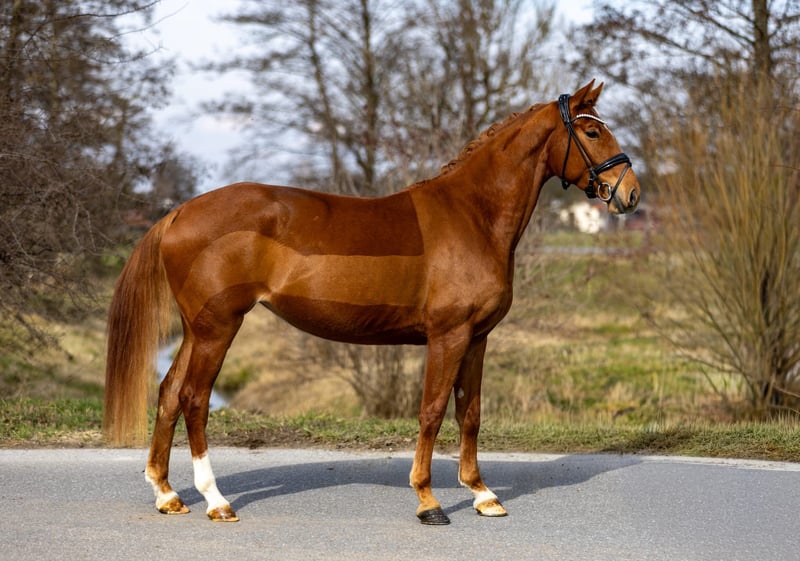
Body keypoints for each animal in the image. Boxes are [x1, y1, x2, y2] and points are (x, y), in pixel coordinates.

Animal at [103, 80, 640, 525]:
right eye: (592, 131)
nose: (631, 195)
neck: (474, 216)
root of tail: (179, 213)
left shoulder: (477, 338)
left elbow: (470, 413)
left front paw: (483, 494)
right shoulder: (448, 336)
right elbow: (431, 411)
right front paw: (428, 501)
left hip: (196, 329)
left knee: (168, 393)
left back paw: (167, 494)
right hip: (218, 328)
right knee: (194, 400)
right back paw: (215, 500)